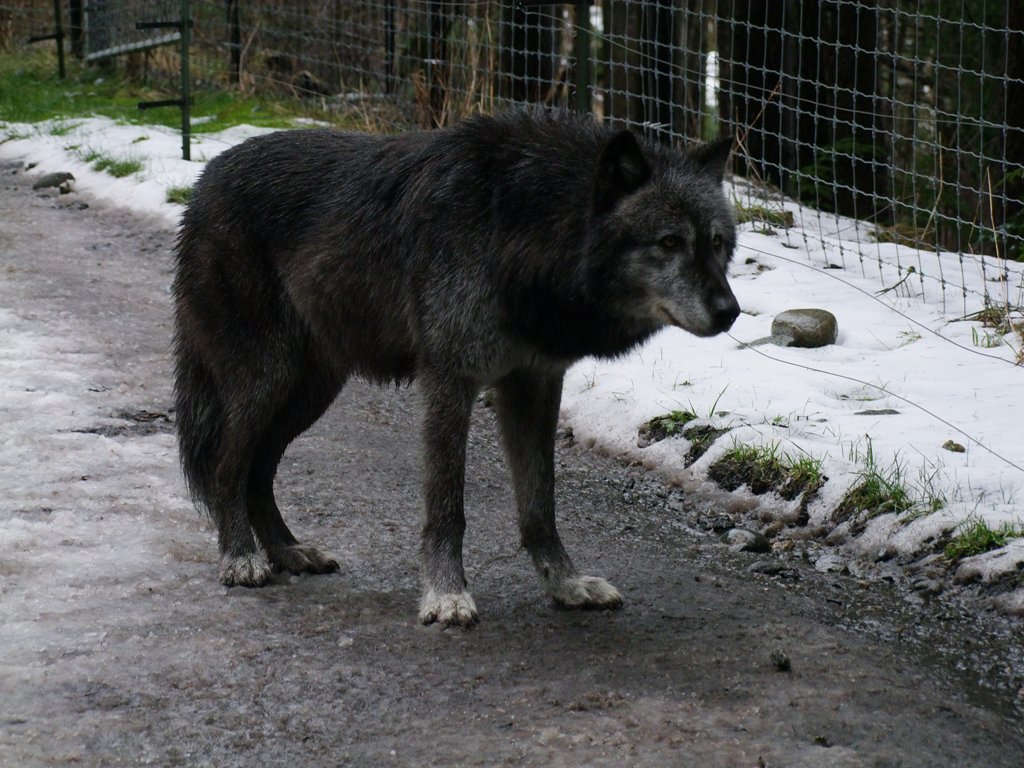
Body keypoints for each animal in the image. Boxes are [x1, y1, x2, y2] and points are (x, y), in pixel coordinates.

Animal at [172, 109, 739, 627]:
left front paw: (566, 584)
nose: (730, 310)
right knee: (226, 465)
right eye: (669, 242)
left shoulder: (534, 384)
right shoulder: (450, 380)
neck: (522, 226)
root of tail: (205, 180)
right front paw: (446, 595)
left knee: (259, 470)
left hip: (312, 391)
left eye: (716, 242)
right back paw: (241, 558)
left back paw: (289, 552)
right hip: (267, 379)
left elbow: (540, 504)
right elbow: (447, 506)